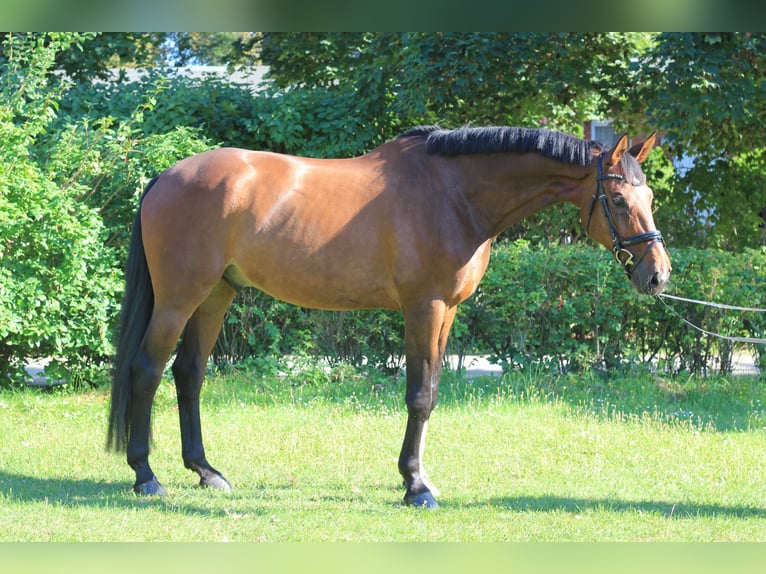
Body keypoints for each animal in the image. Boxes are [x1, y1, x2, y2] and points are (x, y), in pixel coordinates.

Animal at [108, 126, 672, 508]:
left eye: (648, 195)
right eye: (617, 198)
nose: (658, 275)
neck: (454, 195)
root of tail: (166, 177)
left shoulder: (447, 313)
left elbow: (433, 393)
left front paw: (418, 477)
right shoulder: (424, 308)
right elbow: (419, 396)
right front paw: (415, 486)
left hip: (216, 295)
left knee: (189, 375)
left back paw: (206, 472)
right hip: (180, 298)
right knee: (147, 371)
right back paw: (146, 477)